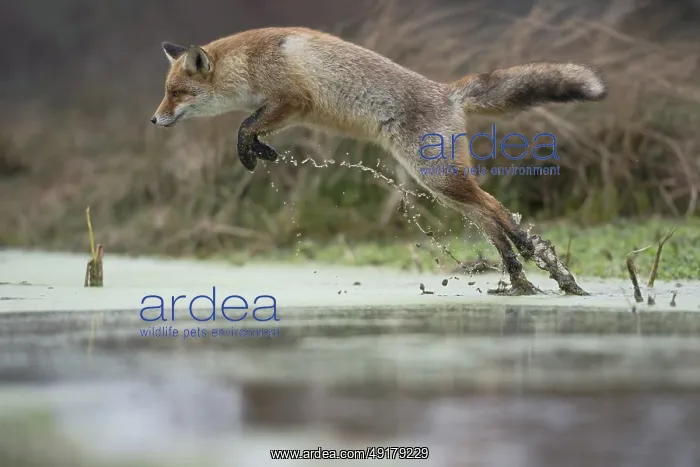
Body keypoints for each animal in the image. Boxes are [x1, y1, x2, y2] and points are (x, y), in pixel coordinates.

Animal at [151, 27, 607, 296]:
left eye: (176, 93)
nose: (154, 120)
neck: (249, 61)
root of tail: (446, 92)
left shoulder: (293, 100)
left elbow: (244, 126)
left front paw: (249, 151)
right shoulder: (288, 111)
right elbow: (252, 126)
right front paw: (259, 151)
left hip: (439, 178)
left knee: (497, 211)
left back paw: (537, 261)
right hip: (440, 185)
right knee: (491, 221)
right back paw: (524, 277)